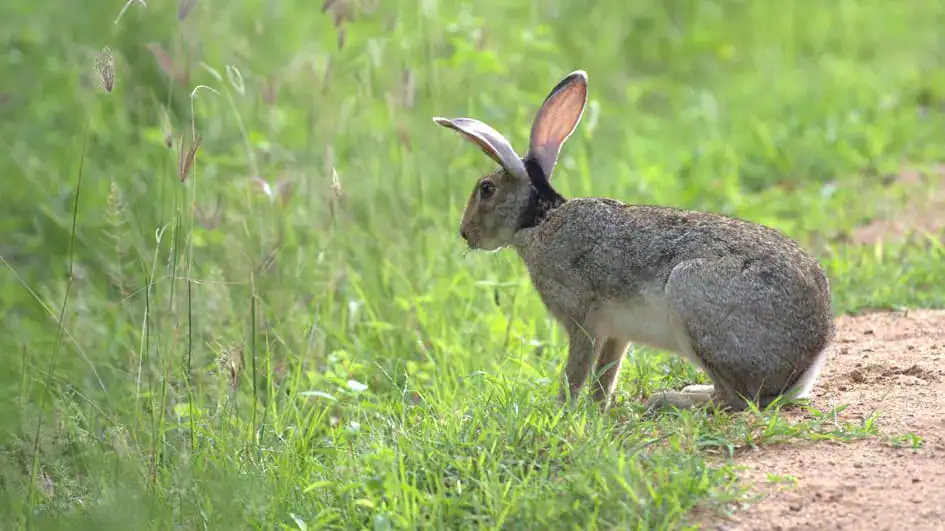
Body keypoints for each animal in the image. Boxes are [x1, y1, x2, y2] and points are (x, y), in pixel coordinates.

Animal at [432, 70, 834, 413]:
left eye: (486, 189)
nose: (465, 232)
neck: (541, 220)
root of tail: (809, 356)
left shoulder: (582, 320)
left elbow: (576, 370)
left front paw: (561, 411)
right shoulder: (616, 333)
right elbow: (605, 374)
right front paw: (597, 410)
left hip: (690, 294)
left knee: (737, 398)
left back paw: (670, 399)